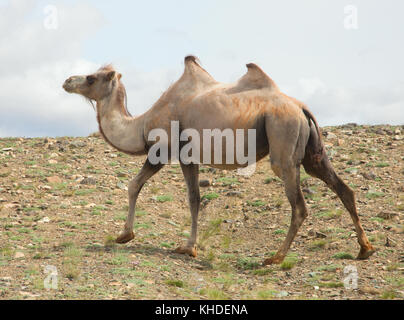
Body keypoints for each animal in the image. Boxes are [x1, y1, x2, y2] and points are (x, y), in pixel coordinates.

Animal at [63, 55, 376, 264]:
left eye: (91, 78)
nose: (67, 80)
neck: (140, 126)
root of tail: (301, 108)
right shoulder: (188, 157)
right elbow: (194, 198)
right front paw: (188, 247)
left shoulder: (163, 149)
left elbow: (135, 185)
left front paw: (125, 235)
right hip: (312, 152)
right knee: (344, 188)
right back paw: (365, 248)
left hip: (282, 136)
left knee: (299, 205)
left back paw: (275, 257)